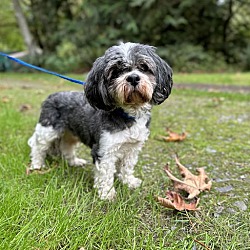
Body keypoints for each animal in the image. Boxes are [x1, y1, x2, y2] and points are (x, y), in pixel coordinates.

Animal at [26, 42, 172, 200]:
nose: (133, 78)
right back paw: (37, 165)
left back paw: (74, 161)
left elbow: (127, 167)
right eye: (115, 72)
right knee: (38, 146)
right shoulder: (105, 149)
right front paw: (107, 193)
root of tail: (51, 96)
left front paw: (129, 182)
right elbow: (105, 173)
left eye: (143, 67)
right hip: (48, 130)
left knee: (66, 146)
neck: (128, 114)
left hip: (70, 133)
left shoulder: (132, 148)